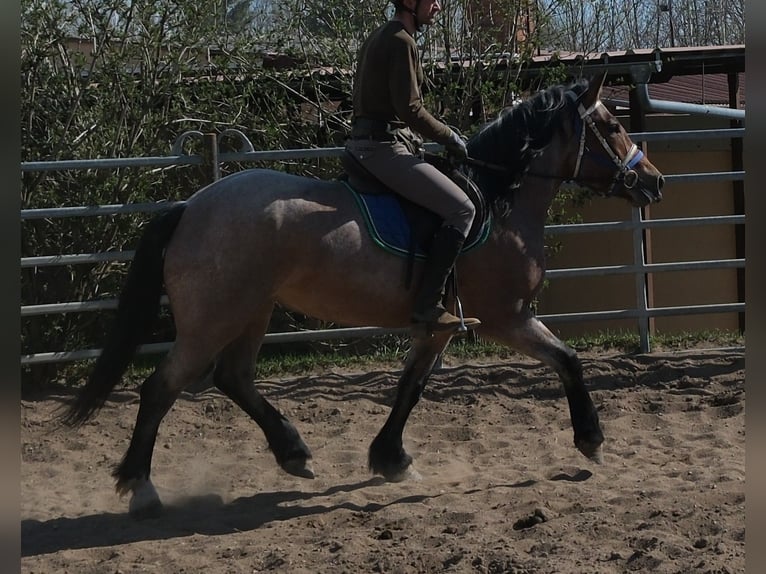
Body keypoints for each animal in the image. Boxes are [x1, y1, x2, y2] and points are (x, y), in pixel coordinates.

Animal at [62, 73, 664, 519]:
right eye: (612, 125)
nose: (654, 182)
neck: (497, 202)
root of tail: (191, 206)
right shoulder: (506, 318)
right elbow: (568, 359)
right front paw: (591, 440)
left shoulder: (439, 324)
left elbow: (411, 387)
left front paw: (391, 459)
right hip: (214, 319)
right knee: (160, 389)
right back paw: (142, 489)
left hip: (252, 312)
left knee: (233, 378)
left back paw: (294, 454)